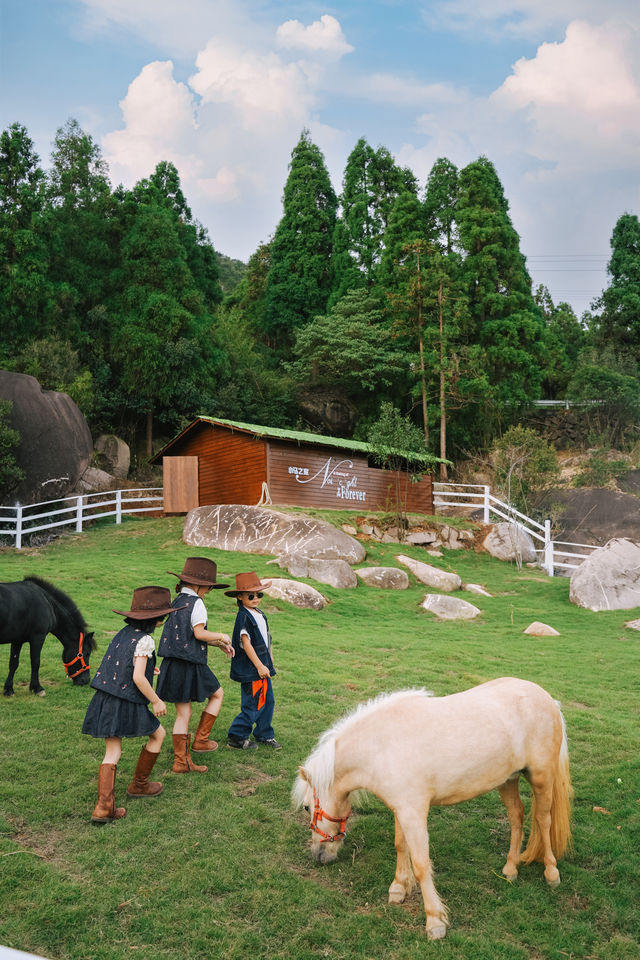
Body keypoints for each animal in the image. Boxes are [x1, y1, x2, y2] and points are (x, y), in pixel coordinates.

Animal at [292, 680, 572, 940]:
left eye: (307, 807)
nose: (318, 856)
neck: (382, 747)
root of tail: (548, 699)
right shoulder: (402, 808)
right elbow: (400, 846)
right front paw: (399, 888)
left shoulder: (414, 813)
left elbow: (421, 864)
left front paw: (435, 922)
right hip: (508, 780)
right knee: (517, 816)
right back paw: (511, 868)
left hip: (541, 778)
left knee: (543, 820)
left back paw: (551, 873)